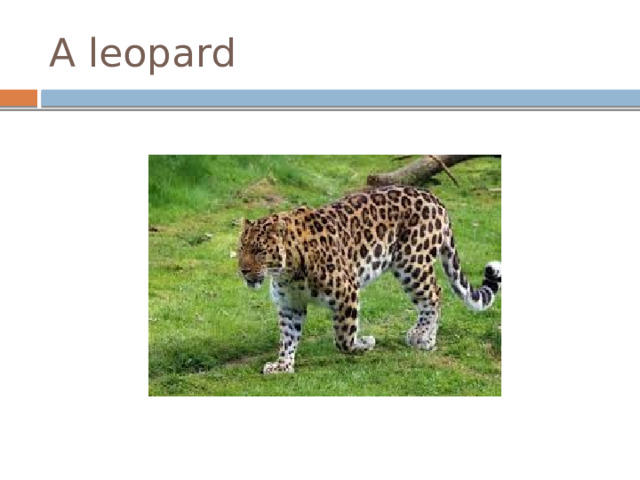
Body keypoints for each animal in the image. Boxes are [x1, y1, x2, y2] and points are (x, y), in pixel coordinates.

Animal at [237, 185, 501, 374]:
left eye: (259, 251)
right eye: (241, 249)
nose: (243, 270)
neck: (287, 272)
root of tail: (435, 199)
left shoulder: (346, 291)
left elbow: (343, 338)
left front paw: (365, 343)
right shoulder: (290, 305)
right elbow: (288, 337)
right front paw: (282, 365)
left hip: (412, 263)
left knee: (435, 293)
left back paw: (422, 337)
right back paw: (426, 336)